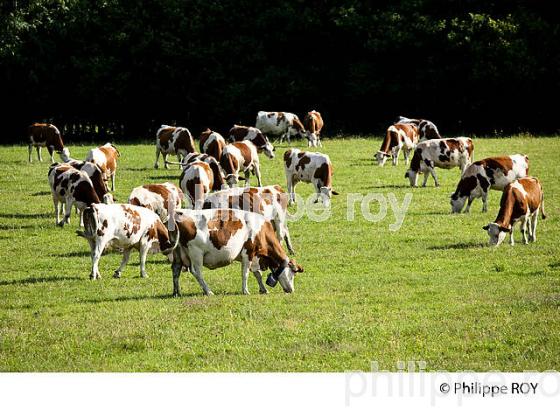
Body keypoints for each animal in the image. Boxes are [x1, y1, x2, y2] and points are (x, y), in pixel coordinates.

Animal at [168, 210, 304, 296]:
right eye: (293, 273)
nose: (291, 290)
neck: (261, 230)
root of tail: (177, 215)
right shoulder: (248, 253)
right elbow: (245, 274)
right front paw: (245, 291)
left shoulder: (255, 257)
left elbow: (258, 274)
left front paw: (263, 289)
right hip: (196, 254)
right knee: (196, 272)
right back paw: (208, 291)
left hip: (178, 254)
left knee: (175, 270)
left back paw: (176, 292)